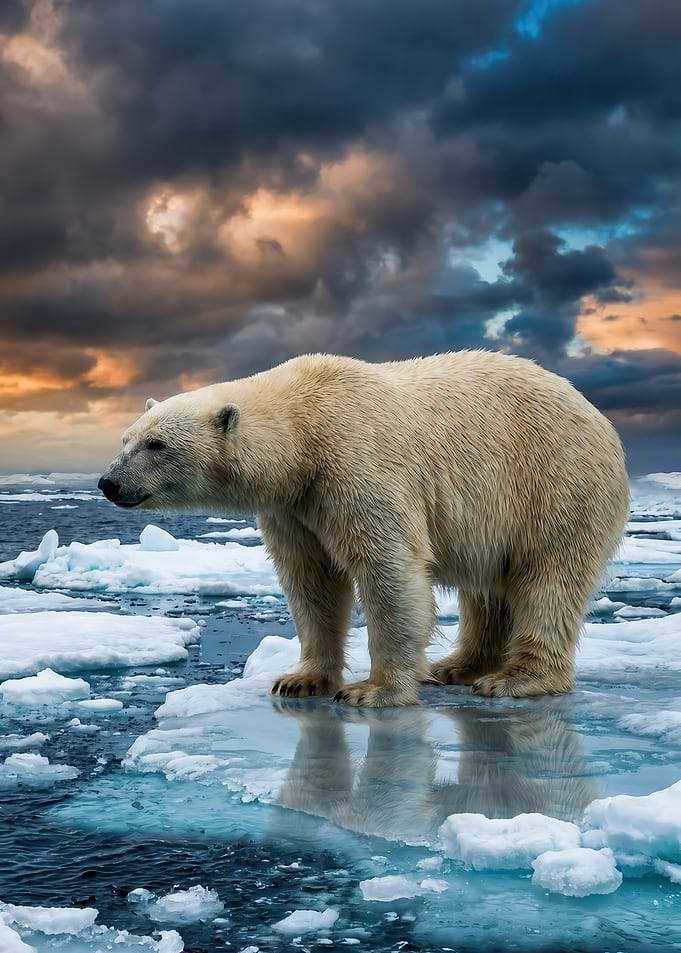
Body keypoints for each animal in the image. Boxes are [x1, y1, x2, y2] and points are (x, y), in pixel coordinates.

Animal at [98, 351, 629, 708]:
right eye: (126, 439)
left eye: (157, 444)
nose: (109, 482)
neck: (304, 428)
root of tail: (597, 415)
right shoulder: (294, 506)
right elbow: (311, 582)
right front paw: (299, 679)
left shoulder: (358, 465)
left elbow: (388, 569)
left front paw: (373, 690)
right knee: (488, 589)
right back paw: (457, 665)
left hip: (553, 484)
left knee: (549, 580)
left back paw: (514, 679)